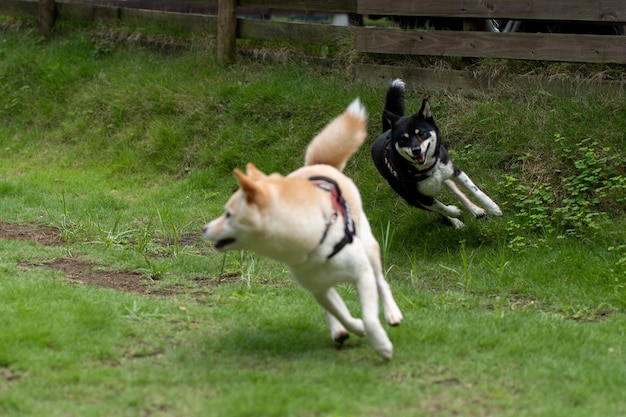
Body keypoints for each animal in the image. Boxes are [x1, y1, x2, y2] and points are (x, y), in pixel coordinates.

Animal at [202, 99, 402, 360]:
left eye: (228, 214)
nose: (204, 228)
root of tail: (319, 164)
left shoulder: (362, 274)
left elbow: (369, 315)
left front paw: (382, 346)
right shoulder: (317, 287)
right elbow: (341, 313)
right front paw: (356, 328)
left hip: (368, 246)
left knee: (382, 282)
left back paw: (392, 313)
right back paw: (339, 331)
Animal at [370, 78, 502, 228]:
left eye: (421, 133)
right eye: (403, 139)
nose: (416, 151)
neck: (426, 168)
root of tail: (386, 132)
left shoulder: (453, 170)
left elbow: (474, 190)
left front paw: (492, 207)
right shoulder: (419, 198)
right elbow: (440, 208)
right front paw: (454, 212)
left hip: (446, 175)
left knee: (457, 191)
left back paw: (475, 210)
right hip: (408, 196)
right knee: (440, 209)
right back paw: (456, 222)